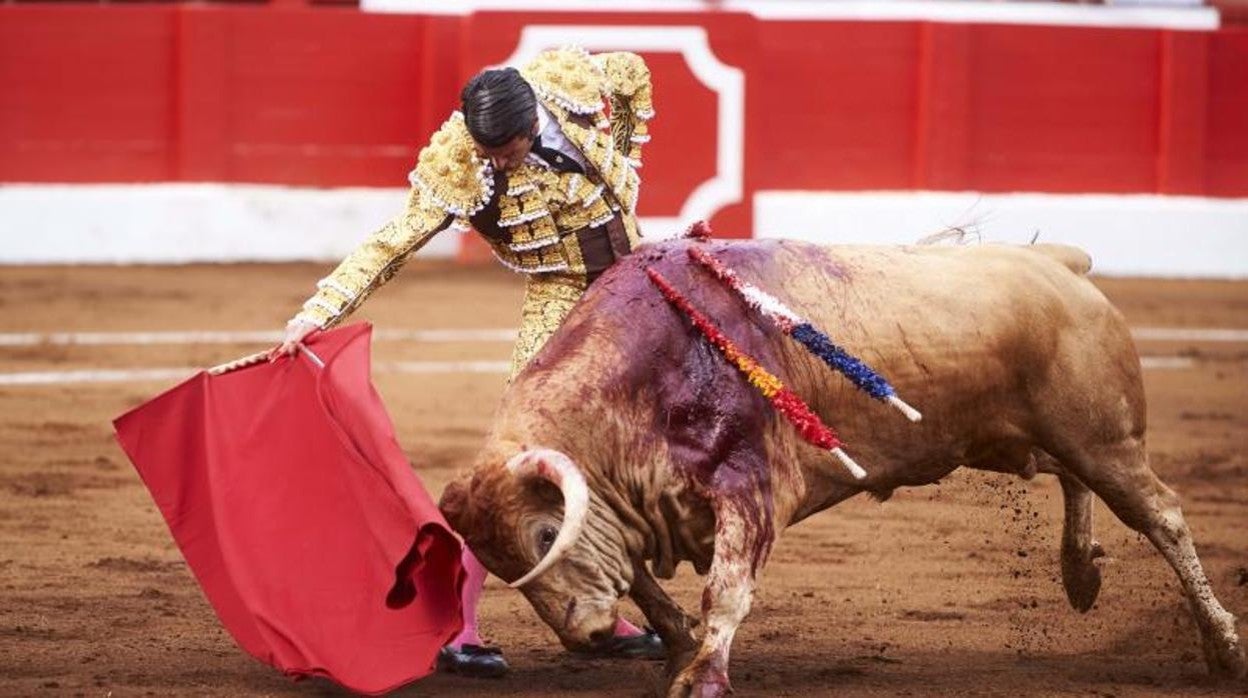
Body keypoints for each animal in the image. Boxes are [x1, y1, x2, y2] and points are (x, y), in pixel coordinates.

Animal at [436, 237, 1238, 694]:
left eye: (544, 538)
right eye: (501, 566)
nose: (589, 638)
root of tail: (1061, 266)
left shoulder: (752, 489)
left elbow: (725, 591)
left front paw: (703, 678)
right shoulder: (629, 513)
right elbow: (647, 585)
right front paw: (681, 652)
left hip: (1101, 436)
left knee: (1161, 515)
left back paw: (1223, 647)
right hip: (1029, 435)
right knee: (1073, 479)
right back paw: (1080, 573)